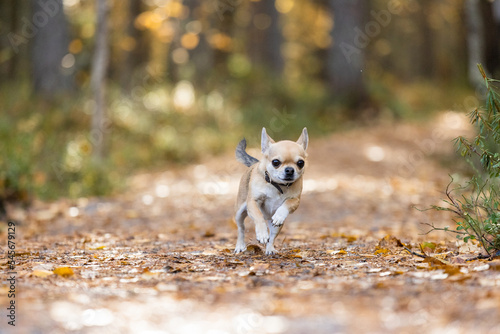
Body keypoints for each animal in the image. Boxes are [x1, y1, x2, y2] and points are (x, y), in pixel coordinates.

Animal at [234, 128, 308, 256]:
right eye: (276, 162)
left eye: (300, 163)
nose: (289, 170)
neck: (278, 185)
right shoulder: (253, 202)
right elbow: (258, 216)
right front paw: (262, 233)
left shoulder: (295, 201)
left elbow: (287, 203)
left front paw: (279, 215)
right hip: (239, 213)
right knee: (241, 228)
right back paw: (240, 246)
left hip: (275, 224)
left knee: (272, 236)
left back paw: (270, 249)